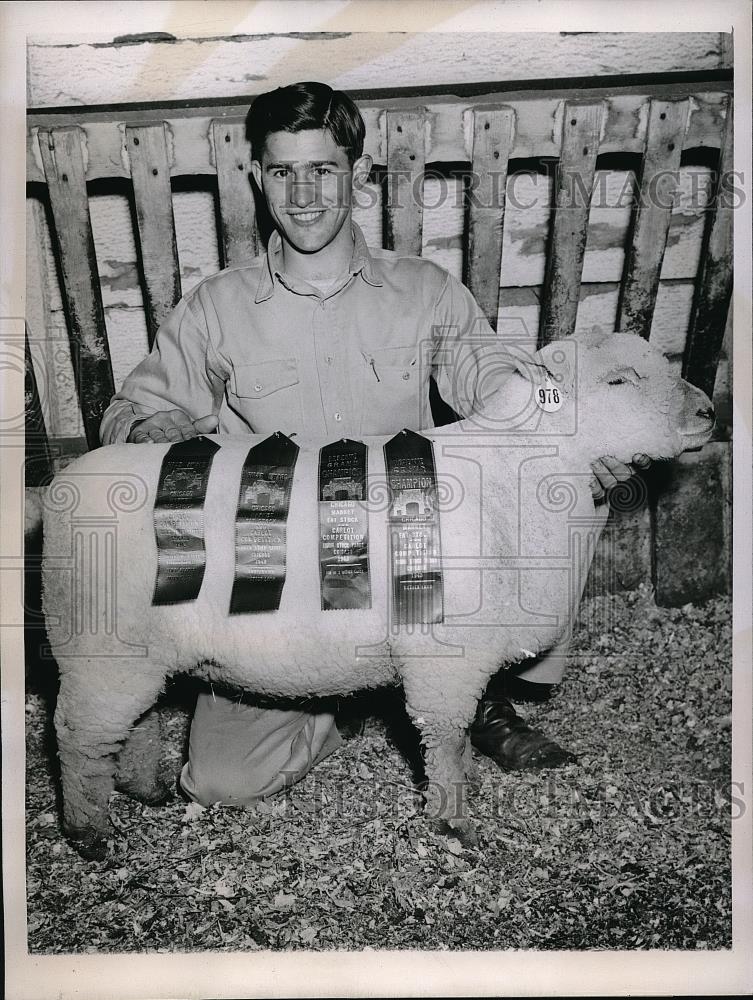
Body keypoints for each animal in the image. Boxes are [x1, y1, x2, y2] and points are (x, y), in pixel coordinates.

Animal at [39, 330, 712, 860]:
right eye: (619, 380)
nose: (707, 411)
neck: (520, 470)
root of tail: (60, 489)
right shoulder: (444, 655)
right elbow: (446, 741)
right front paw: (452, 823)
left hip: (136, 652)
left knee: (133, 724)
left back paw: (141, 789)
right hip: (99, 649)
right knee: (77, 736)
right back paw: (89, 833)